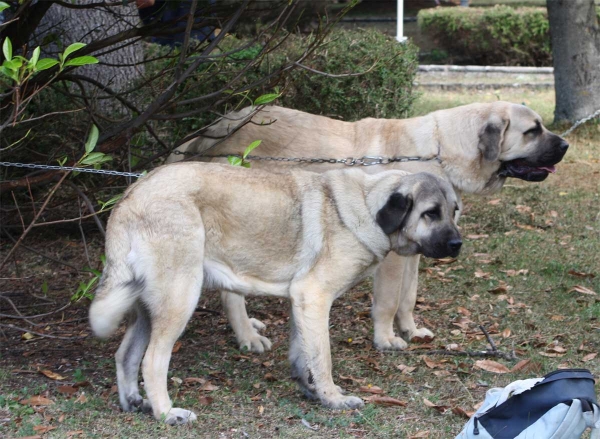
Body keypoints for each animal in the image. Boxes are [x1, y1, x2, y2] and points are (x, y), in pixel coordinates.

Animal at [90, 163, 464, 424]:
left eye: (454, 212)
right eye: (430, 213)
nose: (458, 244)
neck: (367, 206)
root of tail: (131, 196)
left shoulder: (302, 302)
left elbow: (303, 354)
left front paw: (312, 391)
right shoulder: (315, 298)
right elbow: (323, 358)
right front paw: (333, 398)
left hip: (147, 308)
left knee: (125, 354)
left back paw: (135, 403)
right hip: (179, 299)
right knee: (153, 360)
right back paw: (167, 413)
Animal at [168, 101, 568, 352]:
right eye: (533, 131)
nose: (566, 144)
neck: (439, 149)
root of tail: (217, 127)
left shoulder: (414, 252)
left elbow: (409, 295)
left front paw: (410, 329)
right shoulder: (390, 256)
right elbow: (389, 300)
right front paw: (386, 338)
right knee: (230, 291)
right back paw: (247, 336)